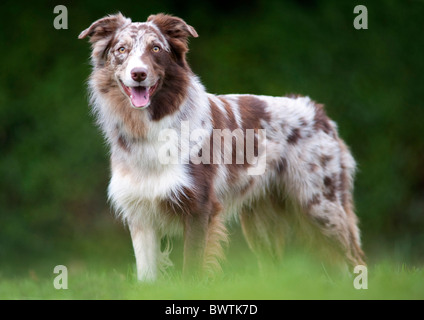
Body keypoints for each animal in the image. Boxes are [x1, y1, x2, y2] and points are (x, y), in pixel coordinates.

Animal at [78, 12, 364, 282]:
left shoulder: (199, 208)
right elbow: (147, 276)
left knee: (354, 260)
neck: (150, 127)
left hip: (320, 206)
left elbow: (191, 269)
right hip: (261, 223)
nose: (138, 74)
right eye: (121, 49)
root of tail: (318, 111)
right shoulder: (141, 214)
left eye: (156, 48)